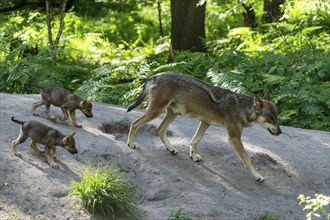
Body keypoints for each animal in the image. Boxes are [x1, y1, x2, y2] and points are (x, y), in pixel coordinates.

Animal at [125, 72, 282, 182]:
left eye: (277, 118)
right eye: (271, 119)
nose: (280, 132)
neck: (241, 108)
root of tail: (155, 76)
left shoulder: (205, 123)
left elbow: (194, 141)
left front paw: (193, 157)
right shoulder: (234, 138)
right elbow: (248, 159)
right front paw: (257, 175)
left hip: (172, 114)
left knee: (160, 129)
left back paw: (171, 149)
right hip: (156, 112)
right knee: (135, 123)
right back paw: (131, 144)